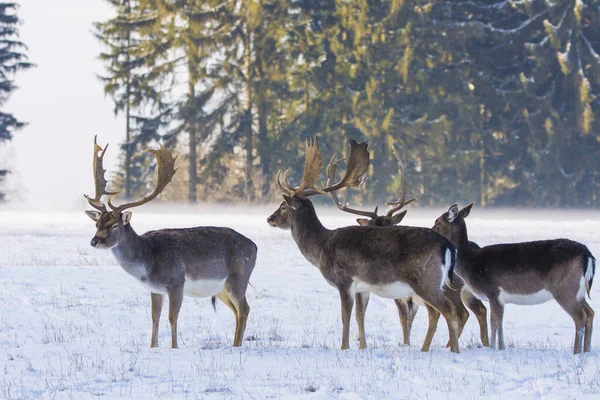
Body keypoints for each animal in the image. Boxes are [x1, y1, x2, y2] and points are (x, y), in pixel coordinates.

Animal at [84, 136, 255, 348]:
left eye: (114, 225)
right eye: (97, 223)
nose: (95, 241)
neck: (148, 262)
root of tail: (254, 246)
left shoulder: (176, 282)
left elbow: (172, 318)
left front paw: (174, 347)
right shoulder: (155, 290)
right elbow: (154, 317)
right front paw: (153, 346)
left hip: (238, 277)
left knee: (244, 309)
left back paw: (236, 345)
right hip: (222, 288)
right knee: (237, 311)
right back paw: (234, 343)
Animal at [266, 139, 460, 352]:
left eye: (283, 206)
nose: (270, 218)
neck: (322, 248)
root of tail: (448, 245)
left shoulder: (344, 280)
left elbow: (345, 317)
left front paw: (344, 347)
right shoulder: (363, 287)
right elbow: (360, 316)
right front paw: (362, 346)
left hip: (424, 280)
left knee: (449, 311)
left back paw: (453, 350)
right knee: (441, 313)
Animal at [328, 148, 492, 348]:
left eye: (391, 226)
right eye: (372, 227)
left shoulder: (403, 294)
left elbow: (404, 319)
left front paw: (406, 344)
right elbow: (404, 320)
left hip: (449, 289)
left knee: (459, 313)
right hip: (466, 292)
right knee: (480, 310)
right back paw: (483, 343)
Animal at [432, 203, 596, 354]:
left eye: (437, 222)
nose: (430, 231)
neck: (470, 263)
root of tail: (588, 256)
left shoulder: (493, 291)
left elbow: (497, 322)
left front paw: (498, 348)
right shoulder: (494, 297)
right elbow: (495, 322)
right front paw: (496, 348)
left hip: (565, 289)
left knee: (580, 316)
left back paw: (576, 352)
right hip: (579, 292)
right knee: (590, 312)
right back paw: (587, 350)